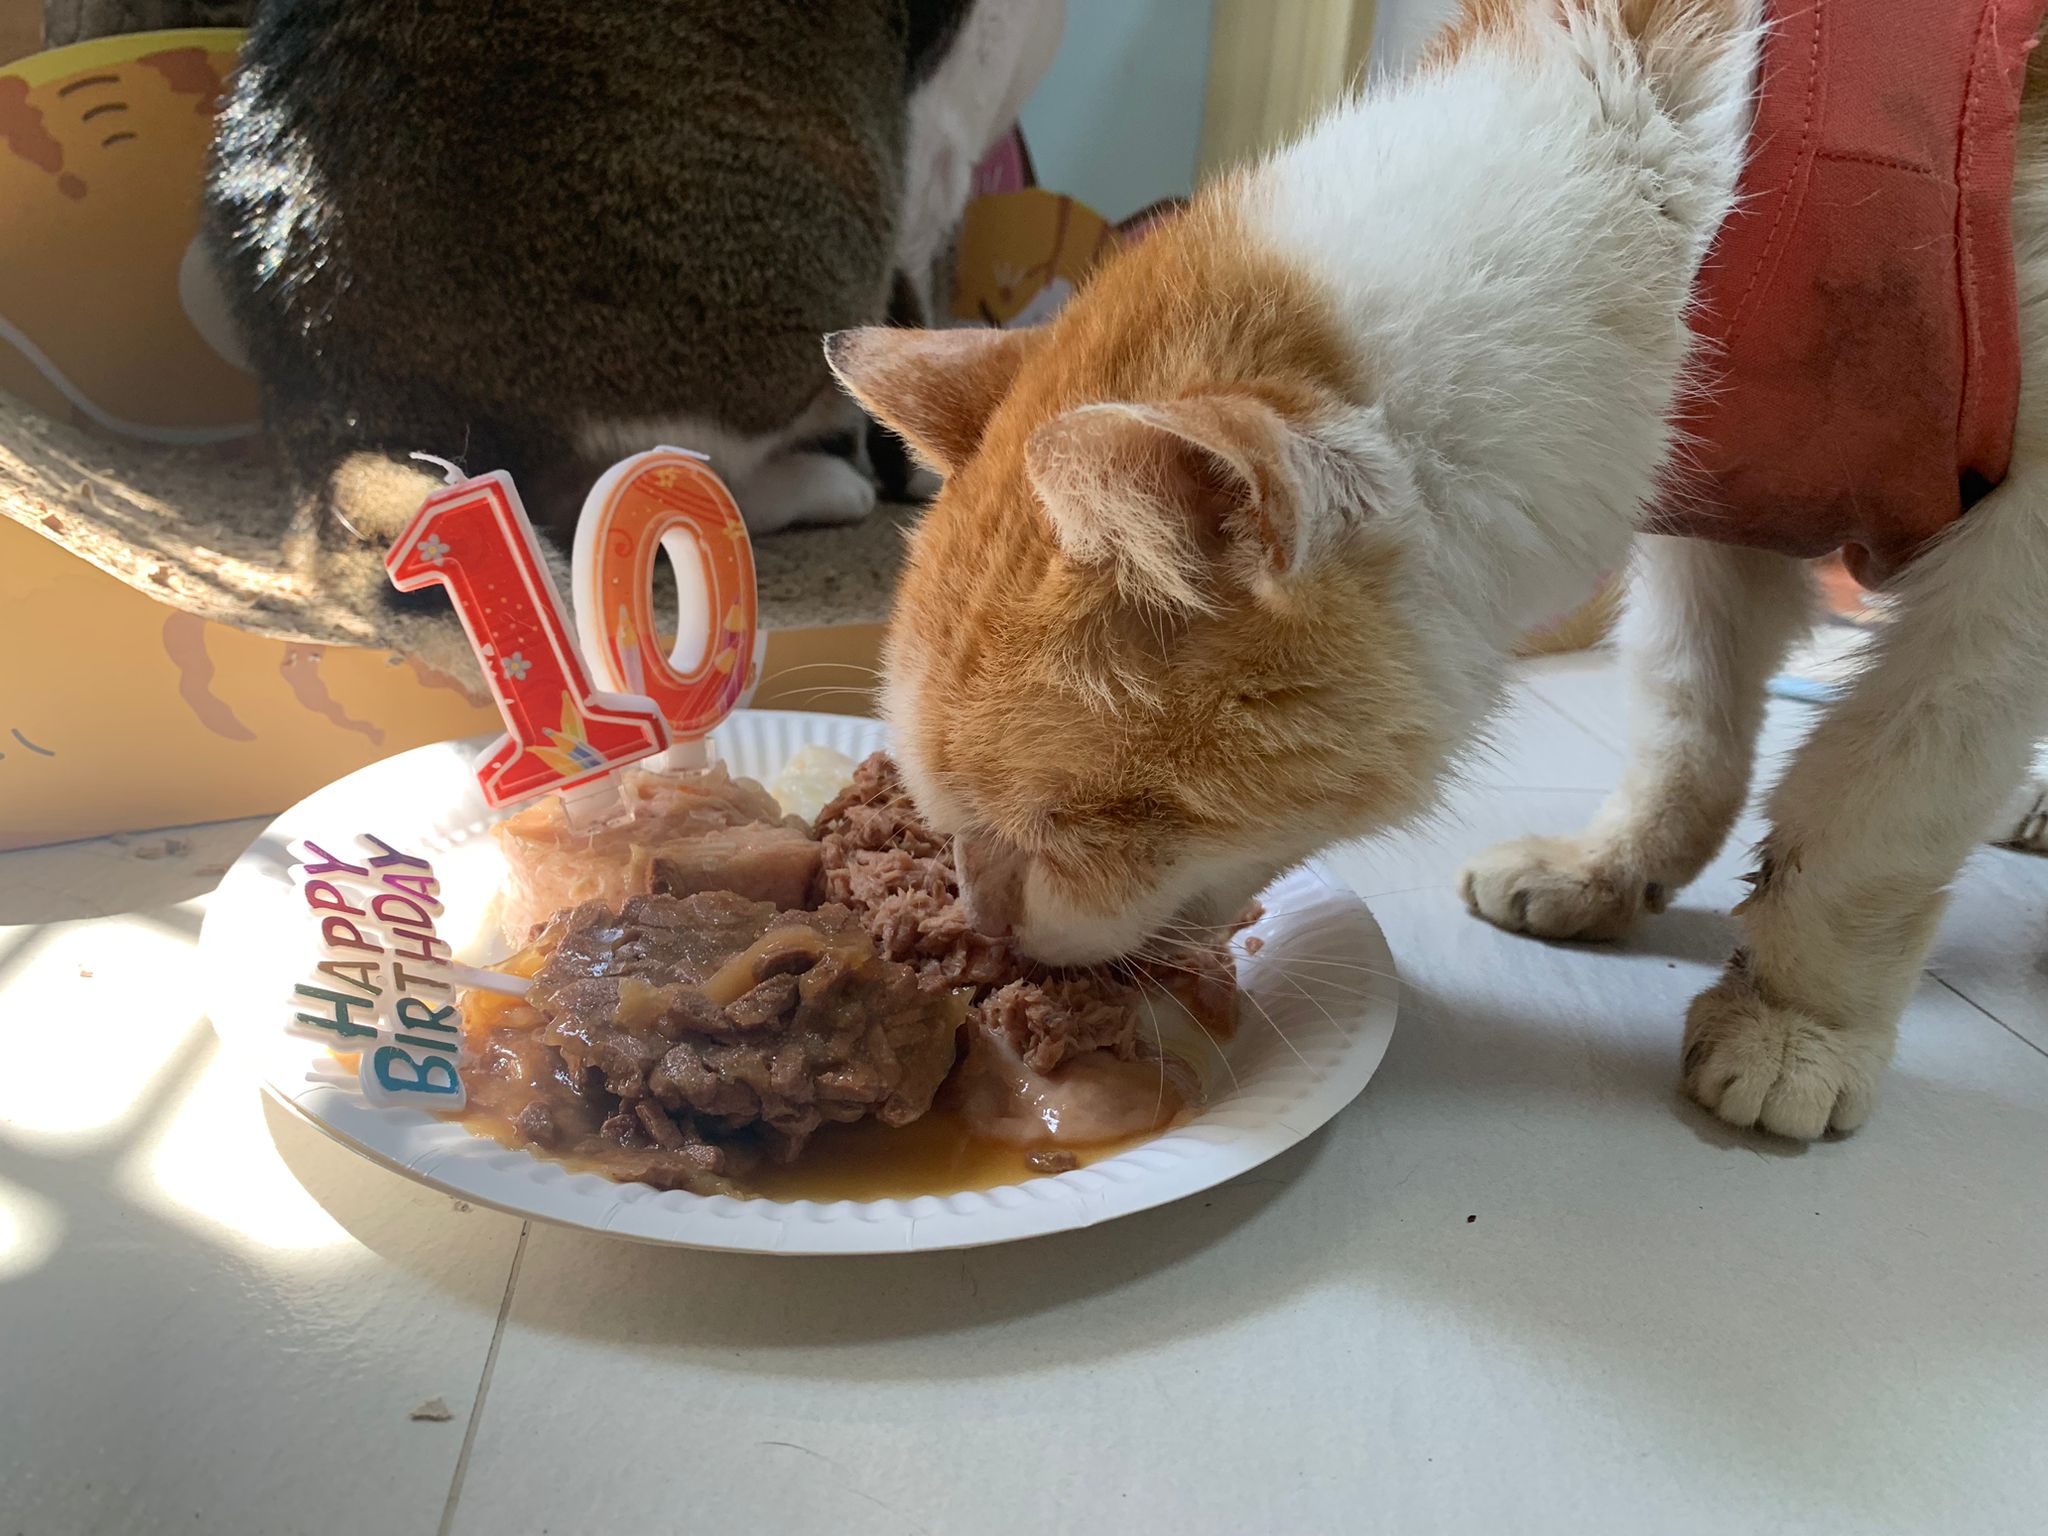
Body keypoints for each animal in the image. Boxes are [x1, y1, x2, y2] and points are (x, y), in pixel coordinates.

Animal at [826, 0, 2048, 1143]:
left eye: (1070, 822)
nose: (978, 922)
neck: (1675, 216)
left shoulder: (2005, 566)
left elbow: (1873, 797)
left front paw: (1795, 1020)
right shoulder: (1720, 519)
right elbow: (1685, 712)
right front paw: (1611, 870)